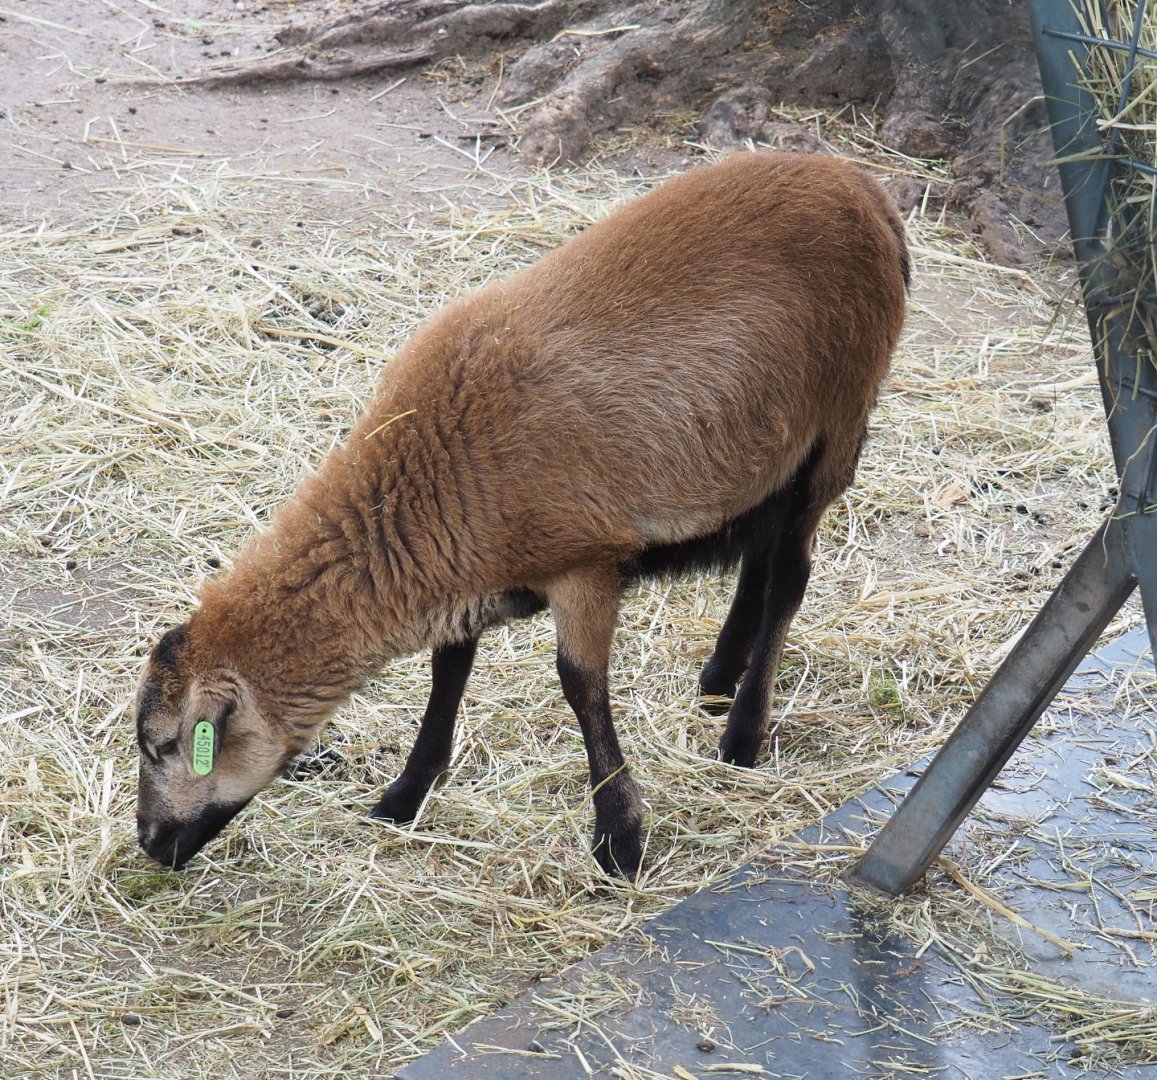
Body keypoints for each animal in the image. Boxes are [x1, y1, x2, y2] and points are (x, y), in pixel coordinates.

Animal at [134, 151, 909, 879]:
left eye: (165, 744)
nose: (148, 843)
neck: (424, 474)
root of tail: (863, 187)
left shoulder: (585, 561)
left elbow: (579, 686)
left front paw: (619, 840)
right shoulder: (468, 577)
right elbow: (448, 672)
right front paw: (405, 796)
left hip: (837, 420)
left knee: (788, 575)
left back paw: (743, 734)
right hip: (768, 446)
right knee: (761, 548)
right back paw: (719, 679)